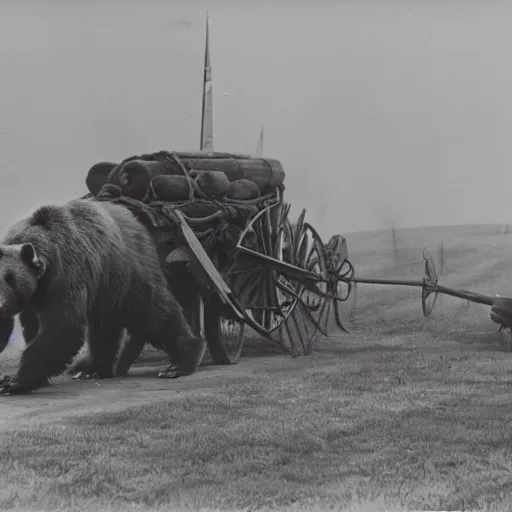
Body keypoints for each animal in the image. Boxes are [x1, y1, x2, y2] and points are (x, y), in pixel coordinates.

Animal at [0, 198, 205, 394]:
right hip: (106, 290)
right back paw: (94, 369)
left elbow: (62, 327)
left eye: (11, 278)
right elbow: (31, 327)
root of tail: (134, 220)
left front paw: (14, 381)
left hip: (127, 273)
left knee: (153, 313)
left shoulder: (65, 277)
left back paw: (179, 363)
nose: (1, 305)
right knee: (105, 328)